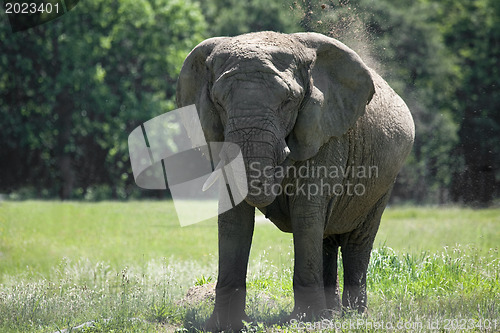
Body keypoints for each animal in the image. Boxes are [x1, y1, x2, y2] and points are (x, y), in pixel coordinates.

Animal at [176, 31, 414, 330]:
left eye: (288, 101)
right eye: (218, 102)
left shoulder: (325, 133)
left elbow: (305, 211)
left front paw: (306, 321)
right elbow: (233, 219)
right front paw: (225, 325)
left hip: (384, 183)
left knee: (356, 241)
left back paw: (352, 315)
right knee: (326, 239)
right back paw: (333, 312)